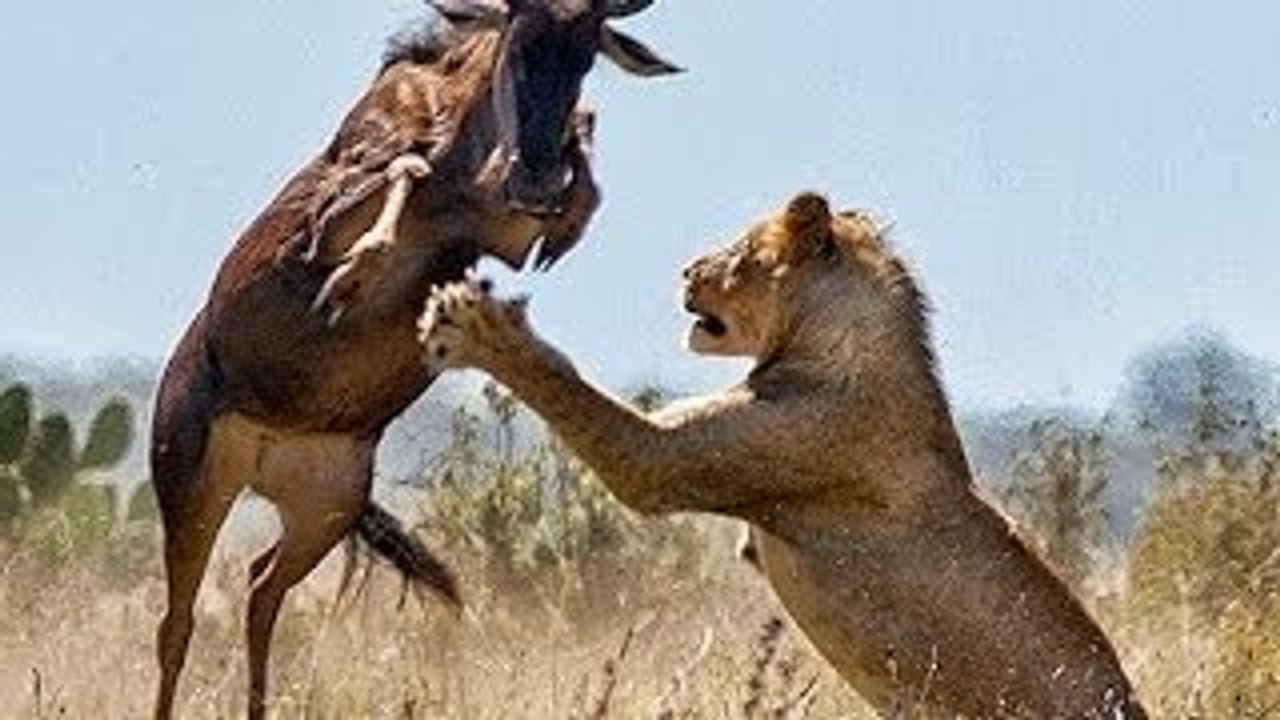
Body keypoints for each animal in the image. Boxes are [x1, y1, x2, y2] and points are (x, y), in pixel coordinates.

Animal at [419, 192, 1147, 718]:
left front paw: (476, 326)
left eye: (740, 251)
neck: (832, 337)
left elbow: (572, 391)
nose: (686, 269)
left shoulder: (664, 460)